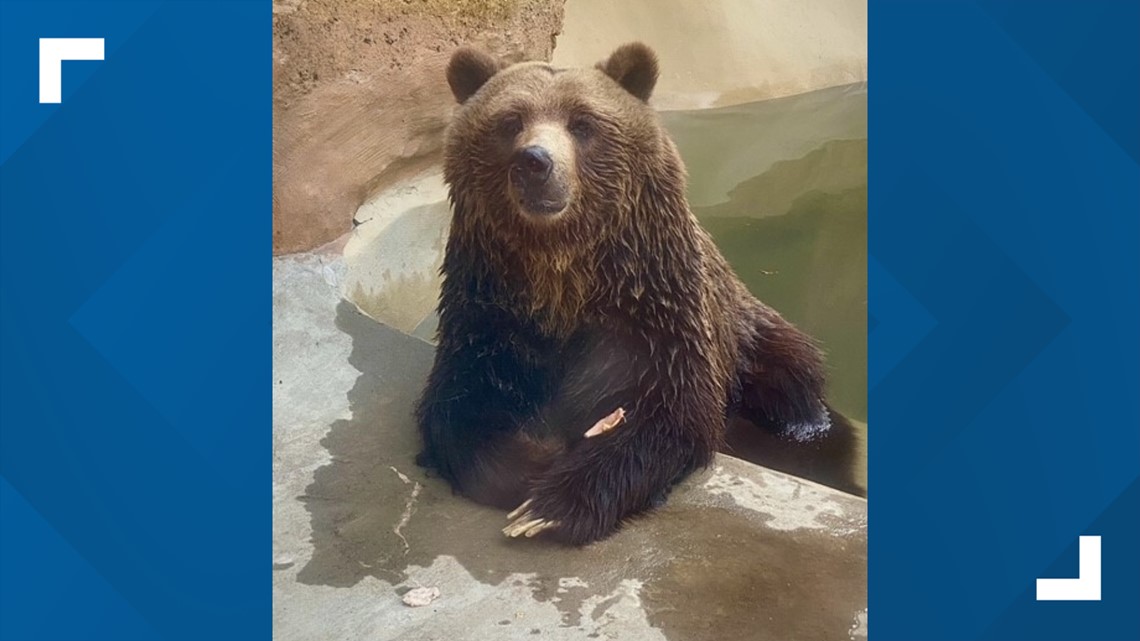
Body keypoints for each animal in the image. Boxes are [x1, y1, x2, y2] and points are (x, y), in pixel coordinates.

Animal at [414, 42, 832, 545]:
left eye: (582, 123)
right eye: (510, 121)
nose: (534, 161)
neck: (559, 273)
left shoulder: (654, 312)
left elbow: (671, 415)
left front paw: (549, 506)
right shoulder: (489, 305)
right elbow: (459, 402)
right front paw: (530, 465)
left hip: (758, 349)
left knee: (794, 388)